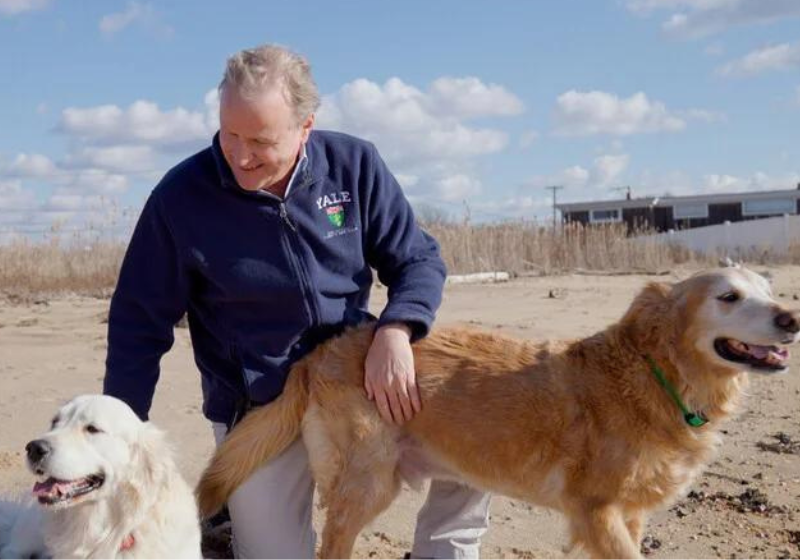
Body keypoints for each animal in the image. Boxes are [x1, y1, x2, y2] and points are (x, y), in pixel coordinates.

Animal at [197, 270, 796, 556]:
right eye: (728, 296)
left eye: (768, 289)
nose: (791, 318)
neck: (656, 374)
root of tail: (320, 352)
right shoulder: (597, 512)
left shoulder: (629, 514)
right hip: (366, 484)